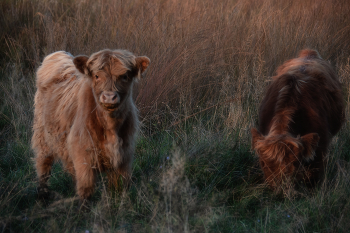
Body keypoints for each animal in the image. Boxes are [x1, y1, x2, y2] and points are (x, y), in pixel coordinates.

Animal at [31, 49, 149, 200]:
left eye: (125, 76)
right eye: (97, 76)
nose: (109, 97)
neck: (110, 127)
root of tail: (59, 54)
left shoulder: (124, 157)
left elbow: (120, 188)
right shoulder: (84, 158)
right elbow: (86, 190)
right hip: (42, 136)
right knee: (43, 164)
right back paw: (43, 193)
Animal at [252, 49, 344, 191]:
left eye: (294, 163)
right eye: (263, 163)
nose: (279, 189)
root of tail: (309, 53)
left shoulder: (320, 147)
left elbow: (314, 174)